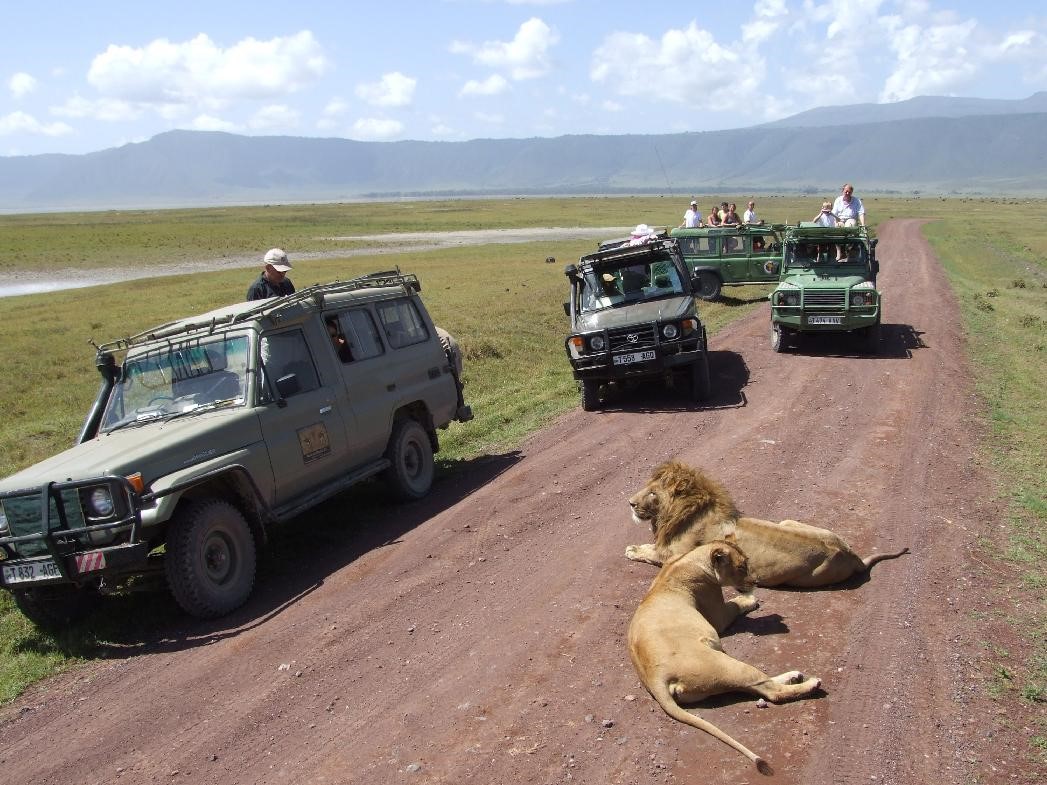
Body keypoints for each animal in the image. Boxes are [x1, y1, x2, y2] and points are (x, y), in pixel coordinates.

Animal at [624, 460, 912, 590]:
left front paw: (632, 549)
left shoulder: (676, 554)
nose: (630, 503)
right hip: (789, 521)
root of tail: (852, 555)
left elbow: (649, 552)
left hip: (806, 579)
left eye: (652, 493)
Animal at [628, 540, 816, 778]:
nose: (756, 582)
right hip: (728, 666)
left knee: (762, 684)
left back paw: (794, 676)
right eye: (742, 566)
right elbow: (735, 605)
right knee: (771, 691)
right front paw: (749, 599)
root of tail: (655, 678)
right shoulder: (719, 615)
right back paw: (811, 683)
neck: (689, 558)